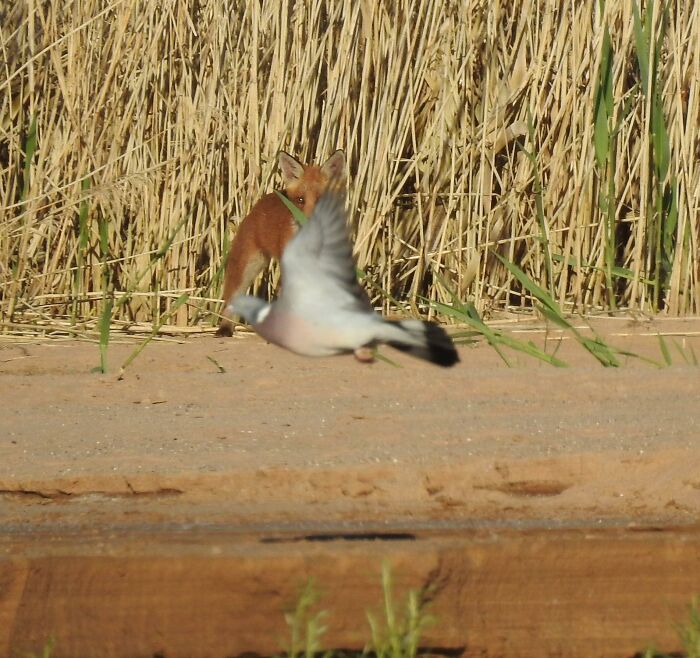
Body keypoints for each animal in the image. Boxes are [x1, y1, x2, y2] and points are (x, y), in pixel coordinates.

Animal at [217, 149, 346, 337]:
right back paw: (225, 327)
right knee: (231, 297)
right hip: (246, 266)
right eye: (300, 200)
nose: (309, 223)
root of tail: (265, 199)